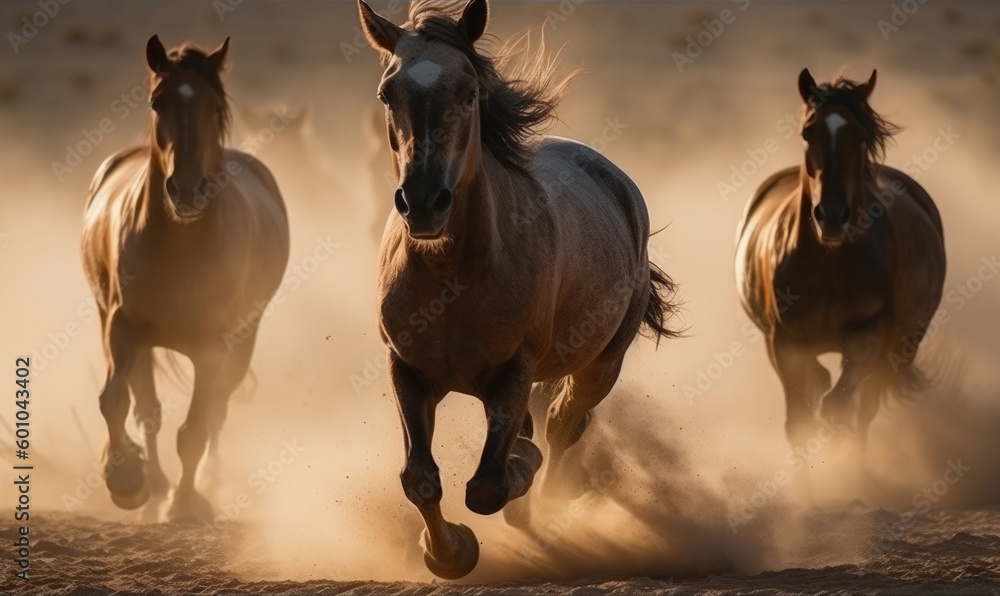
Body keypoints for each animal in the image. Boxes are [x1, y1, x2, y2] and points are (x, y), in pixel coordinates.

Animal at [81, 35, 290, 521]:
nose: (188, 190)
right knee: (148, 409)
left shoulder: (214, 348)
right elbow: (115, 401)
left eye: (214, 107)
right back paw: (154, 484)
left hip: (242, 341)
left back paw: (201, 484)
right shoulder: (123, 328)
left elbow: (195, 429)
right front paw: (126, 480)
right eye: (158, 103)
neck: (181, 246)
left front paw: (187, 502)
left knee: (216, 412)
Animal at [359, 0, 678, 579]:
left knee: (564, 423)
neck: (451, 279)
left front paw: (519, 469)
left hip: (602, 363)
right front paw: (449, 553)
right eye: (387, 93)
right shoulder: (406, 369)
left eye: (469, 92)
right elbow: (420, 478)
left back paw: (547, 499)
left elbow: (488, 486)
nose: (423, 202)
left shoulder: (515, 368)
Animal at [735, 69, 945, 448]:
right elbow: (800, 421)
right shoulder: (784, 343)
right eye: (807, 134)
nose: (831, 216)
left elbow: (839, 408)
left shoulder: (868, 337)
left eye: (860, 136)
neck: (828, 265)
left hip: (902, 347)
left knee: (863, 411)